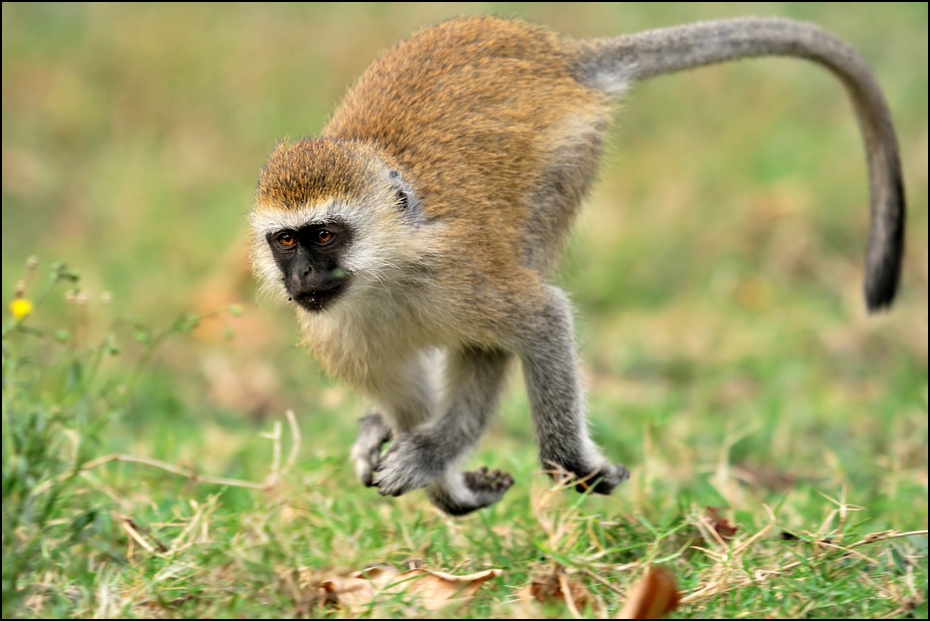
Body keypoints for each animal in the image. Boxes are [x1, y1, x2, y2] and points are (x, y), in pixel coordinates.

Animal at [250, 17, 904, 516]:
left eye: (324, 235)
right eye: (286, 242)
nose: (302, 277)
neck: (384, 273)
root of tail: (554, 51)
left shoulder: (463, 275)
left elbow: (542, 318)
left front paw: (543, 463)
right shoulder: (337, 331)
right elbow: (407, 385)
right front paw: (445, 480)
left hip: (565, 164)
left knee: (503, 319)